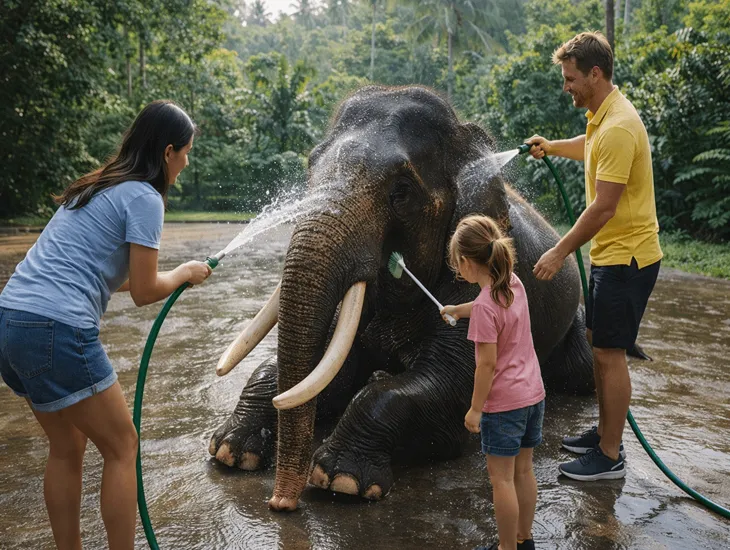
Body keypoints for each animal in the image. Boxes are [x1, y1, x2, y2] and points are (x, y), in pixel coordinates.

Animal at [208, 85, 595, 512]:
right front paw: (230, 449)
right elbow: (332, 370)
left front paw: (341, 479)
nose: (281, 504)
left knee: (582, 372)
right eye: (310, 168)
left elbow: (448, 388)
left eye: (401, 192)